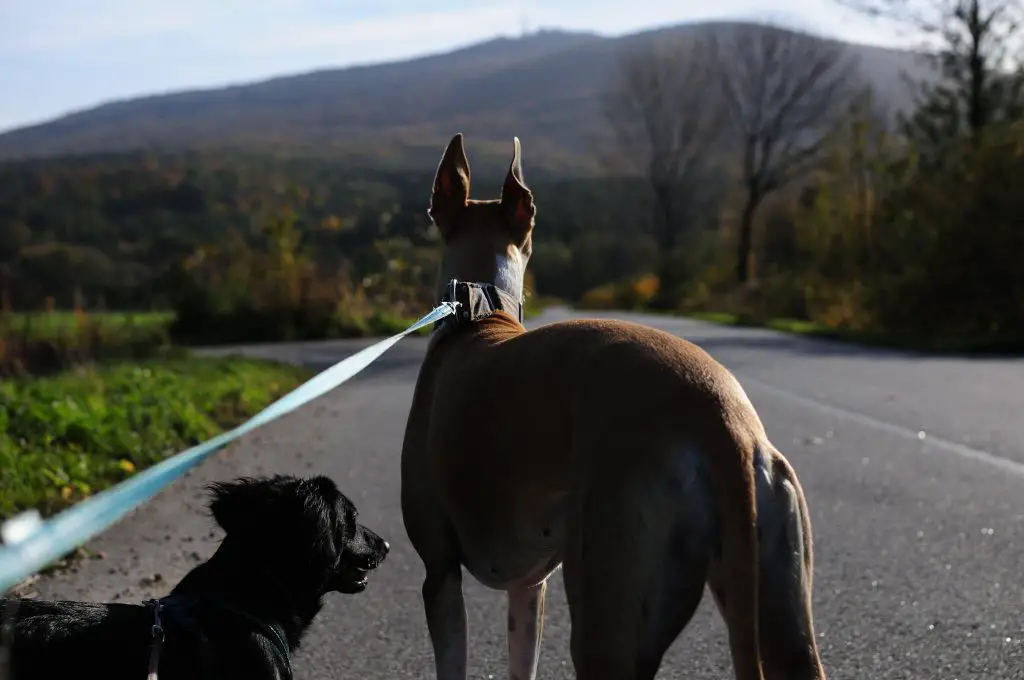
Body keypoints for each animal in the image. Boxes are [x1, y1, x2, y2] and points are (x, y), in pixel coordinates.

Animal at [399, 134, 823, 680]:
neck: (481, 310)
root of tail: (724, 421)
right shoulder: (528, 588)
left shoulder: (440, 573)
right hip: (776, 597)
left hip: (608, 594)